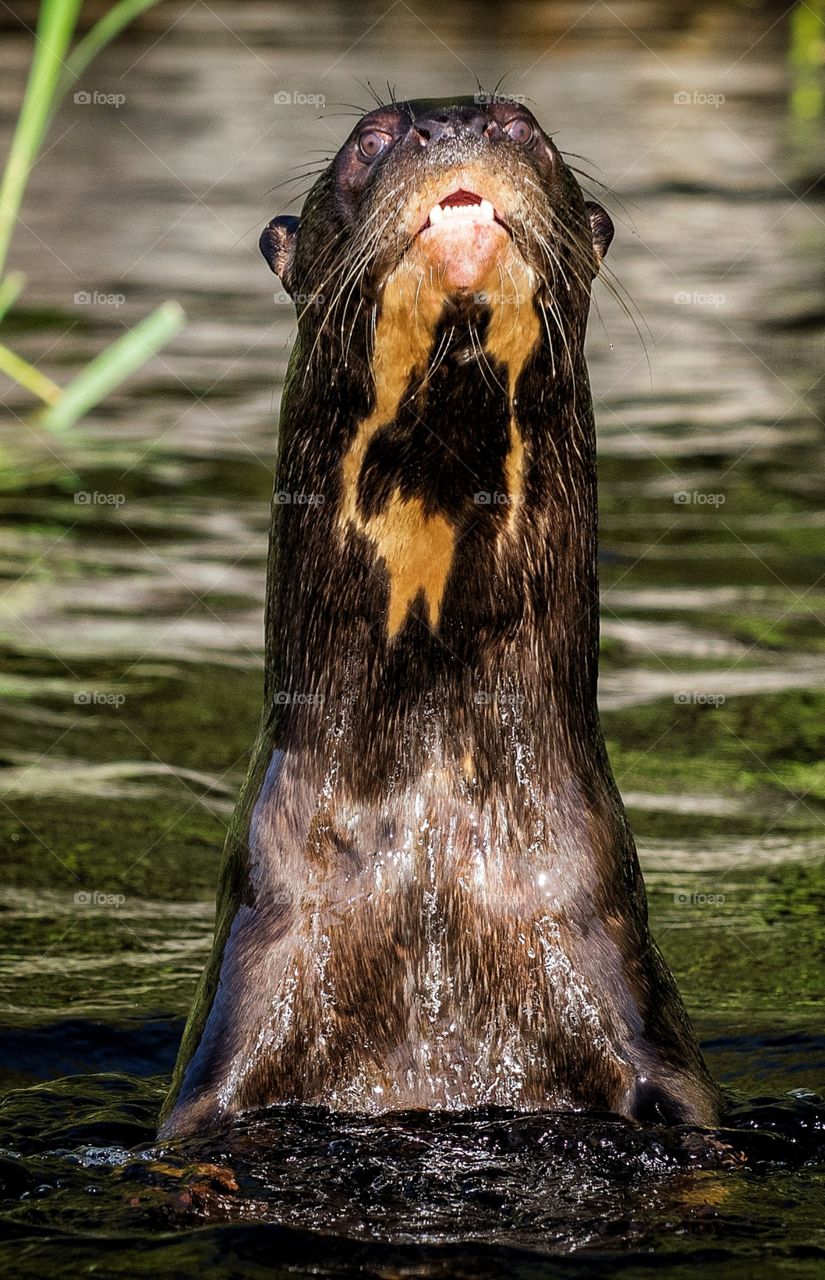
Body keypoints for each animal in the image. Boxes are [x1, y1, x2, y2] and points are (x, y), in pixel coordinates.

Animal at [159, 99, 721, 1141]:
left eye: (523, 126)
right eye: (373, 140)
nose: (454, 120)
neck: (433, 868)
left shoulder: (612, 965)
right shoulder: (258, 962)